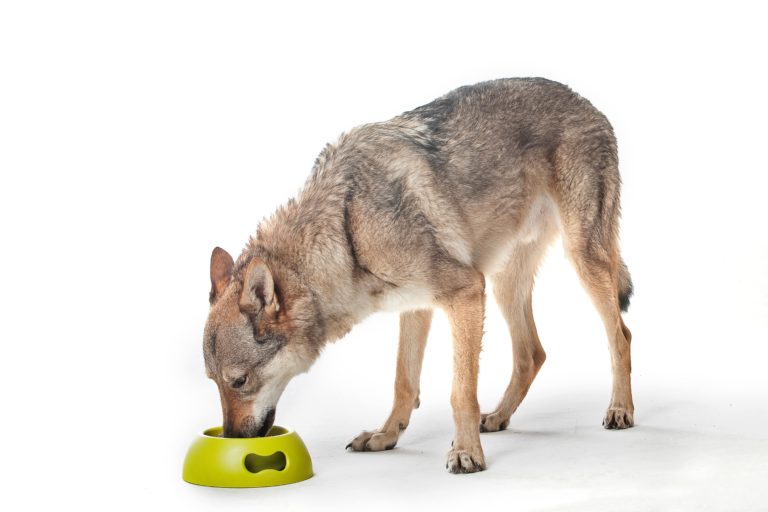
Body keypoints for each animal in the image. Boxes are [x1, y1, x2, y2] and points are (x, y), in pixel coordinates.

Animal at [202, 78, 634, 473]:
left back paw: (620, 410)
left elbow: (461, 392)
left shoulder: (465, 291)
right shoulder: (416, 305)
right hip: (504, 283)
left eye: (238, 381)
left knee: (620, 335)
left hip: (581, 259)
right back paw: (498, 417)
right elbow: (403, 382)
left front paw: (466, 452)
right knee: (532, 353)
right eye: (213, 382)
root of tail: (585, 101)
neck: (346, 230)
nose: (230, 439)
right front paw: (385, 436)